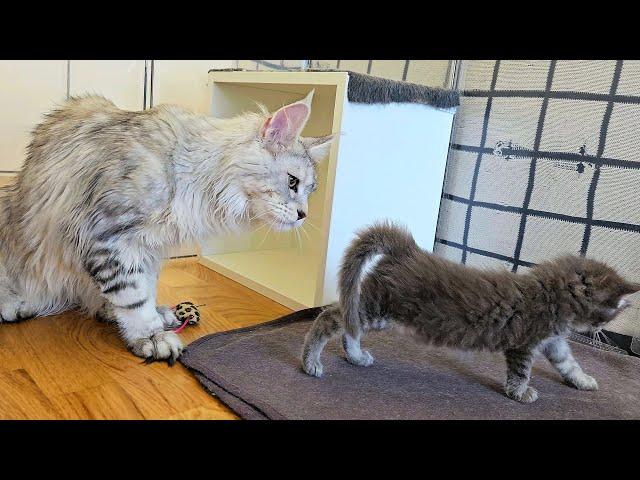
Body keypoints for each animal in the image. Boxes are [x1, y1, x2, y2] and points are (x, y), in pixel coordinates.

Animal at [302, 223, 640, 404]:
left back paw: (356, 356)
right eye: (607, 315)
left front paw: (583, 380)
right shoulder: (525, 342)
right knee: (331, 317)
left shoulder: (553, 340)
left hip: (381, 307)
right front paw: (520, 393)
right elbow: (521, 371)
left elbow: (569, 363)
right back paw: (311, 362)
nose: (600, 333)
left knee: (349, 323)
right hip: (381, 305)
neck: (553, 295)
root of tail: (408, 248)